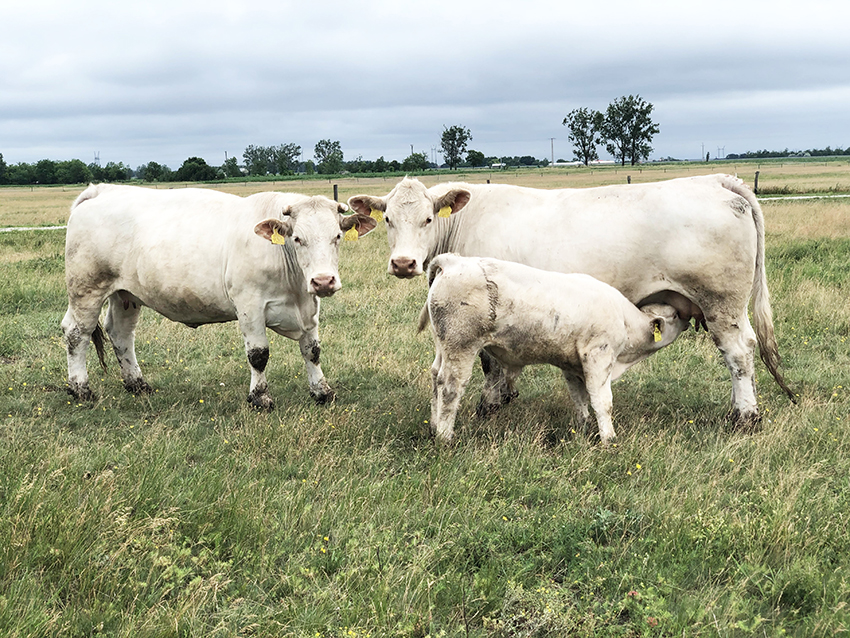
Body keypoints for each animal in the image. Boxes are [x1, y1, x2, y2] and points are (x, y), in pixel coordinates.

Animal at [63, 182, 374, 408]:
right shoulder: (249, 305)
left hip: (125, 294)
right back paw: (81, 389)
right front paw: (260, 398)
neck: (295, 286)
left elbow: (312, 350)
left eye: (337, 236)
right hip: (86, 288)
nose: (323, 281)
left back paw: (137, 385)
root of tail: (103, 189)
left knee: (121, 333)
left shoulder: (310, 306)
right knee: (76, 333)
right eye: (298, 239)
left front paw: (322, 391)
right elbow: (258, 355)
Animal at [418, 255, 688, 444]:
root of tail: (453, 261)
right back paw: (445, 436)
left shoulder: (572, 365)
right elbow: (602, 401)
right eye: (675, 315)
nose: (689, 319)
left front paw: (582, 430)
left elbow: (580, 399)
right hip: (461, 345)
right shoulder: (598, 357)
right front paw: (609, 439)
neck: (624, 319)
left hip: (443, 345)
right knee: (450, 386)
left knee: (435, 377)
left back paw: (432, 427)